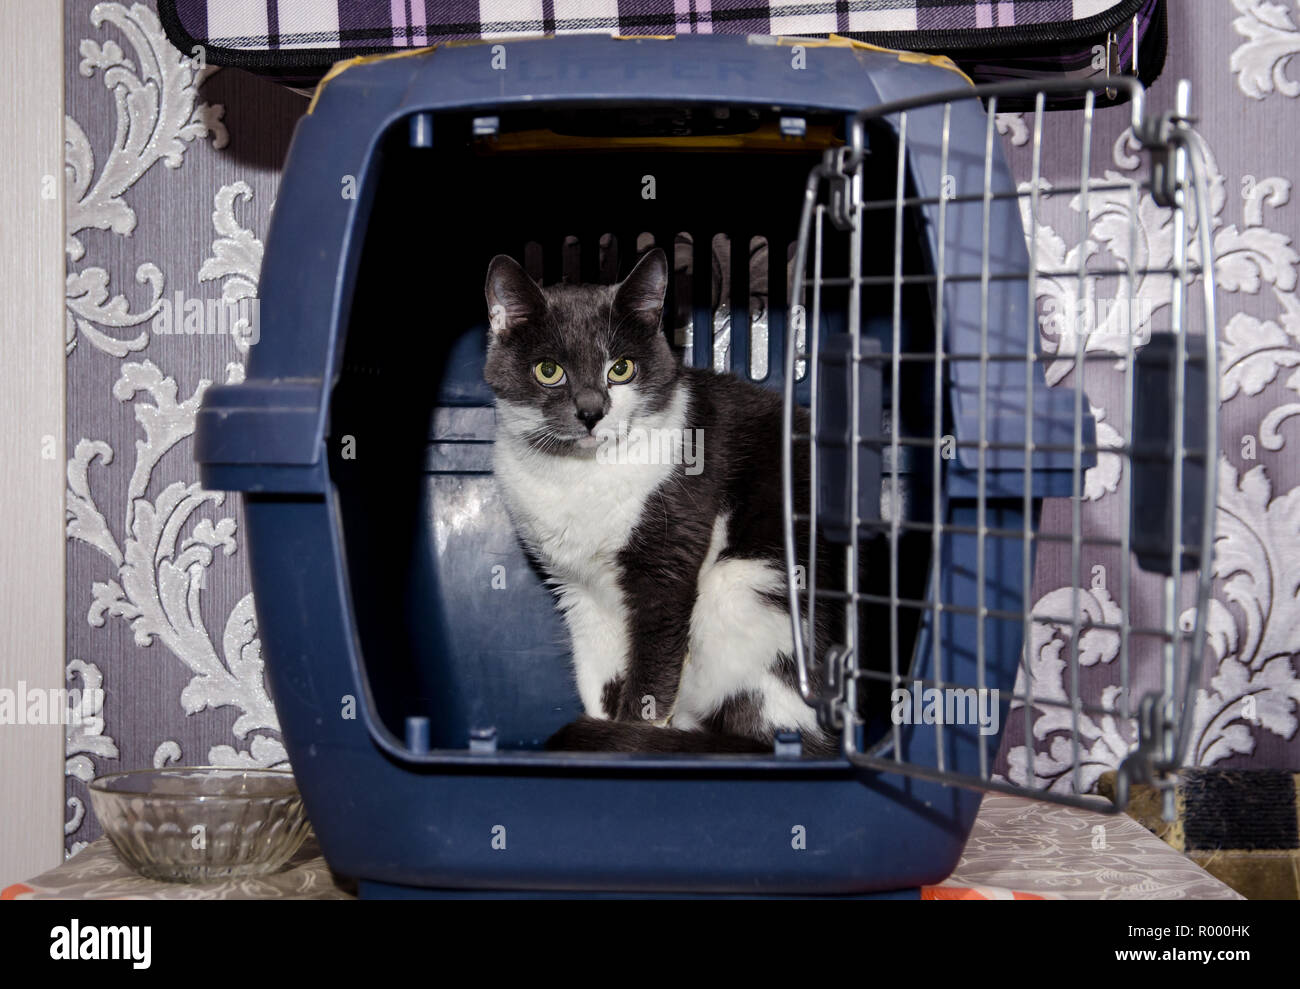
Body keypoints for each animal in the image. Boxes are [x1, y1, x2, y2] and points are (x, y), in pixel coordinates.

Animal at [486, 246, 832, 753]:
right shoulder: (575, 588)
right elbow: (596, 670)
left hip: (739, 587)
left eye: (621, 368)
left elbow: (652, 668)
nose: (591, 411)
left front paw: (632, 732)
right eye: (549, 371)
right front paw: (605, 723)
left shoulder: (668, 562)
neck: (579, 473)